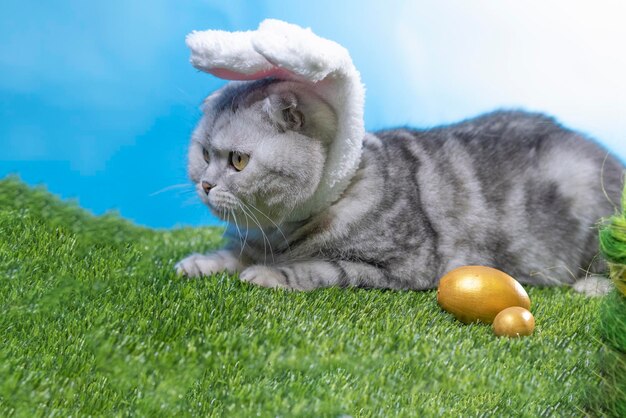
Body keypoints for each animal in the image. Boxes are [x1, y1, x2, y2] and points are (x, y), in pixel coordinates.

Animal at [177, 78, 624, 294]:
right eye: (203, 153)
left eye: (238, 161)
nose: (206, 184)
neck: (279, 232)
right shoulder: (251, 241)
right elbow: (232, 254)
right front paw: (200, 263)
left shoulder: (402, 266)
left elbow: (317, 267)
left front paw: (270, 274)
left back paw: (593, 286)